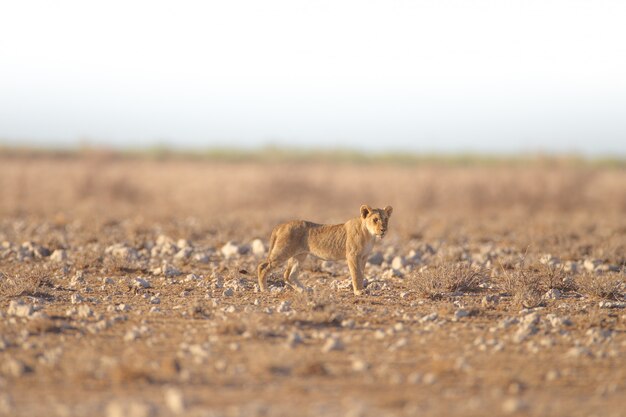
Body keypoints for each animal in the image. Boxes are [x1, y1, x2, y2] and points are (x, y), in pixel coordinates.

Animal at [256, 203, 392, 294]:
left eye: (386, 219)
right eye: (375, 219)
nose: (383, 229)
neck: (369, 235)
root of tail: (281, 225)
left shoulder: (364, 257)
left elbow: (361, 273)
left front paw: (361, 288)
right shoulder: (353, 256)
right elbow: (356, 274)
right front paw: (359, 291)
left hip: (299, 255)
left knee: (289, 275)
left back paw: (305, 290)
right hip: (283, 251)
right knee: (263, 266)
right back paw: (264, 289)